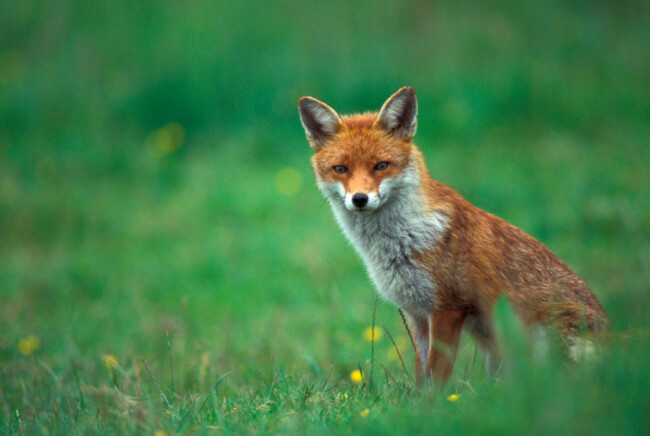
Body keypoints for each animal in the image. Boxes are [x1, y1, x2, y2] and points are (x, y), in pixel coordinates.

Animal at [298, 86, 607, 386]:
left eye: (381, 165)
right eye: (341, 169)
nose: (360, 199)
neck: (403, 241)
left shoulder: (449, 308)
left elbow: (437, 375)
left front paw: (436, 404)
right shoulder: (417, 313)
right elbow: (421, 374)